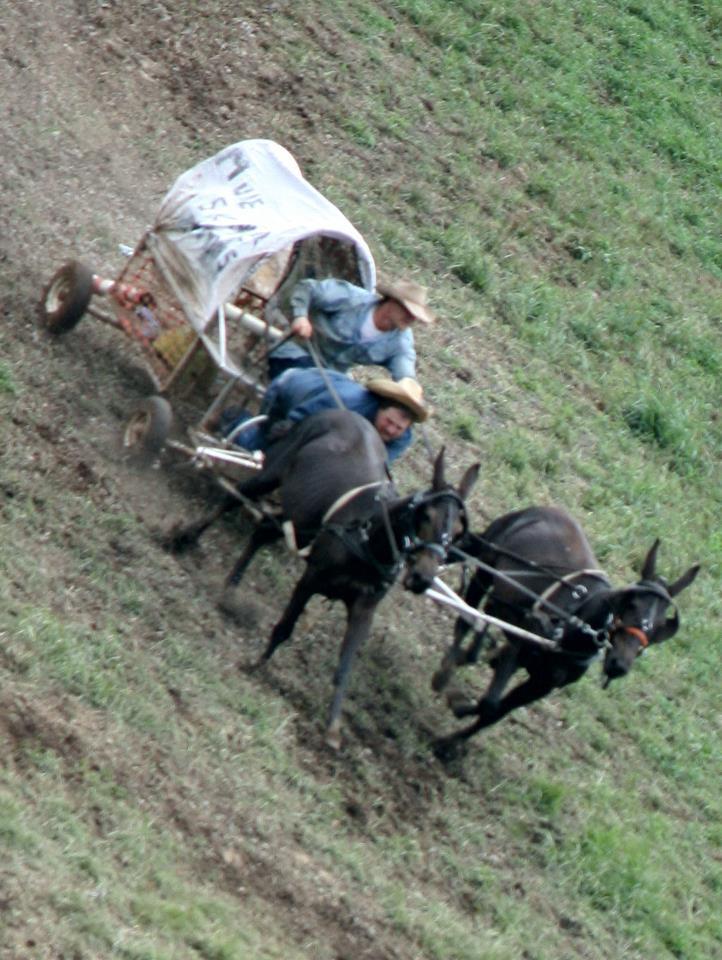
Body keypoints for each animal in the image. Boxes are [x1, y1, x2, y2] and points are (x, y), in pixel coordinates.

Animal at [170, 406, 478, 752]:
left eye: (457, 531)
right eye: (426, 516)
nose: (423, 578)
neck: (368, 537)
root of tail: (340, 411)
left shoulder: (363, 609)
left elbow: (345, 667)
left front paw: (332, 729)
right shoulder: (311, 580)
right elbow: (285, 628)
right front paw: (257, 664)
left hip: (303, 517)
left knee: (264, 529)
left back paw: (231, 587)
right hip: (273, 474)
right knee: (235, 498)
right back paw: (186, 536)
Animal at [430, 506, 696, 752]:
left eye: (661, 626)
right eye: (631, 602)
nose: (619, 664)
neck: (574, 624)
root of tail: (547, 509)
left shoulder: (542, 685)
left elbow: (494, 713)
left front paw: (453, 739)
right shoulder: (517, 646)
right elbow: (490, 703)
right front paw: (457, 709)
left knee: (485, 616)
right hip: (486, 565)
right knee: (467, 616)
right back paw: (445, 671)